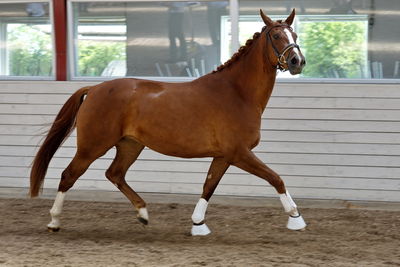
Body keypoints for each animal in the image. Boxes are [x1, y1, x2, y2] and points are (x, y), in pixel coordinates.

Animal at [30, 9, 306, 236]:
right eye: (276, 36)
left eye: (294, 34)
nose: (297, 61)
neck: (237, 92)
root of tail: (95, 88)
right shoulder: (240, 153)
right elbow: (275, 178)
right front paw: (296, 218)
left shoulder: (224, 155)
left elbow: (209, 186)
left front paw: (198, 224)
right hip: (93, 145)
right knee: (69, 175)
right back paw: (54, 221)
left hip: (130, 145)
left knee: (115, 173)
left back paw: (143, 213)